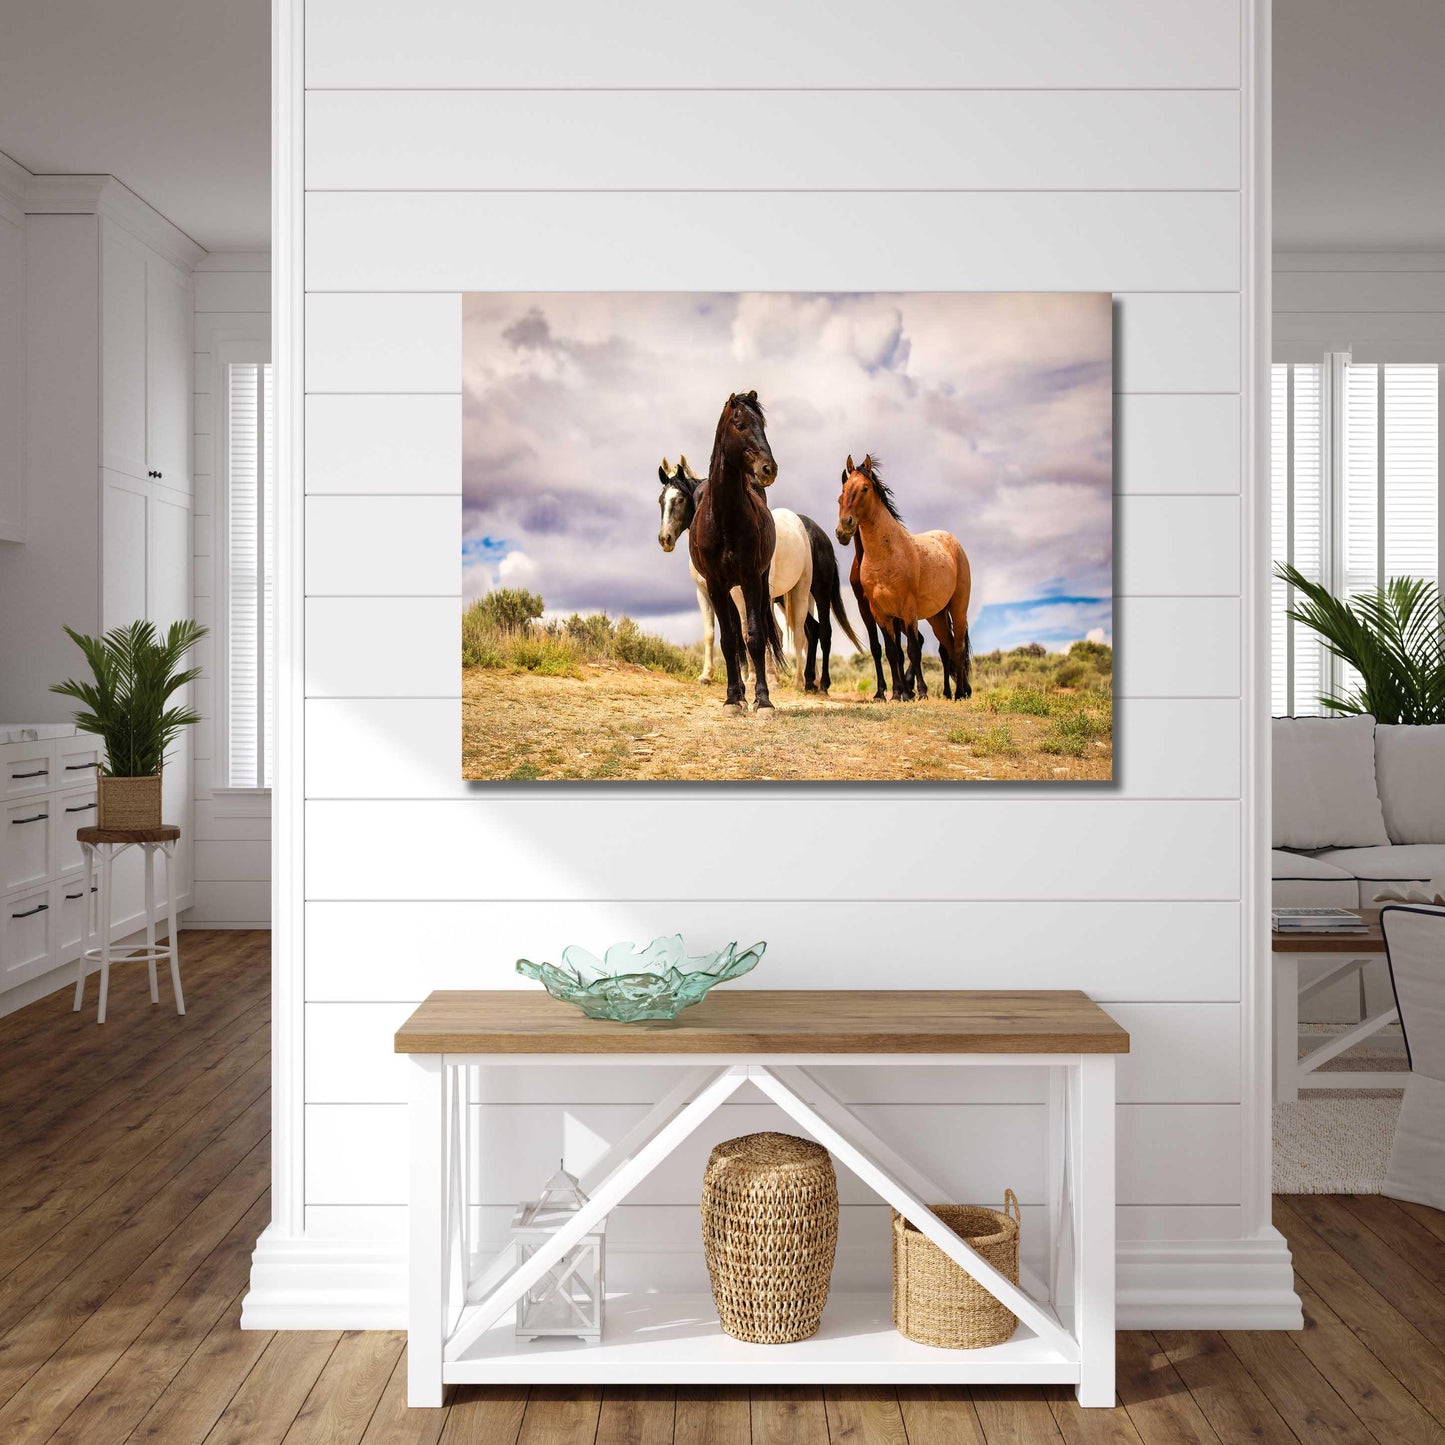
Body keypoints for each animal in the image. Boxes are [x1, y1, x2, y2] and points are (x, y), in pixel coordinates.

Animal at [658, 459, 814, 690]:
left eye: (680, 499)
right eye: (661, 500)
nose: (665, 538)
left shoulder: (742, 592)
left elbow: (747, 630)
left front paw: (753, 678)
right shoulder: (706, 592)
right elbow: (714, 633)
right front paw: (708, 675)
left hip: (798, 592)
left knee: (798, 634)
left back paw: (798, 681)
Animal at [832, 450, 976, 699]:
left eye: (865, 488)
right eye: (843, 490)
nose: (844, 528)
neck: (885, 555)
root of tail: (951, 540)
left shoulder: (907, 609)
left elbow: (913, 650)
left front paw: (920, 692)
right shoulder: (879, 611)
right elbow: (891, 651)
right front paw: (897, 693)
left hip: (958, 608)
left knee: (957, 647)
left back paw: (959, 693)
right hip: (937, 616)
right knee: (947, 647)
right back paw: (955, 692)